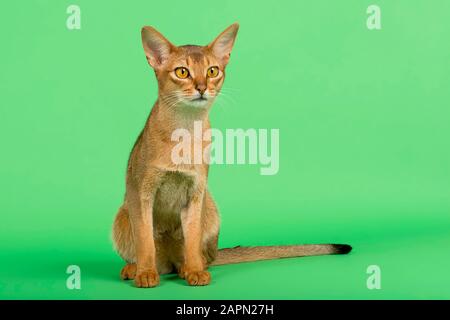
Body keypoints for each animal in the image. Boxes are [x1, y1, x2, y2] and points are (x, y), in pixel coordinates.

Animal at [111, 22, 352, 288]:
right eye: (182, 72)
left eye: (212, 71)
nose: (202, 88)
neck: (185, 129)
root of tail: (168, 263)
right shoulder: (141, 192)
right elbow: (145, 240)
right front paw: (145, 273)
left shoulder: (195, 194)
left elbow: (192, 238)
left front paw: (194, 271)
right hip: (122, 216)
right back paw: (135, 269)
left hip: (210, 209)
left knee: (201, 257)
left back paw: (187, 267)